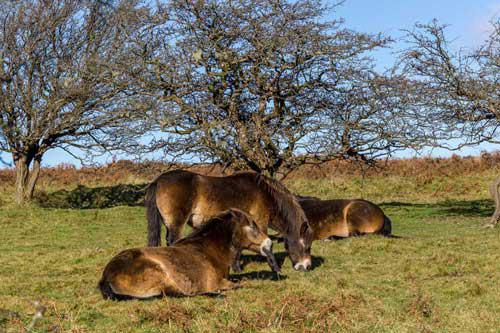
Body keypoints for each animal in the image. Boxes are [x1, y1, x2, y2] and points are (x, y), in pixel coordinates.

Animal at [99, 209, 280, 300]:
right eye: (252, 226)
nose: (268, 244)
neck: (209, 250)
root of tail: (107, 276)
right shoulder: (219, 282)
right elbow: (239, 284)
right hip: (161, 275)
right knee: (179, 294)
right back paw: (216, 295)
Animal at [146, 170, 314, 272]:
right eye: (306, 246)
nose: (307, 267)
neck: (265, 193)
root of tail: (159, 180)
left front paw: (236, 268)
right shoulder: (259, 222)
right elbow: (265, 245)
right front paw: (275, 269)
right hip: (176, 223)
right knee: (173, 240)